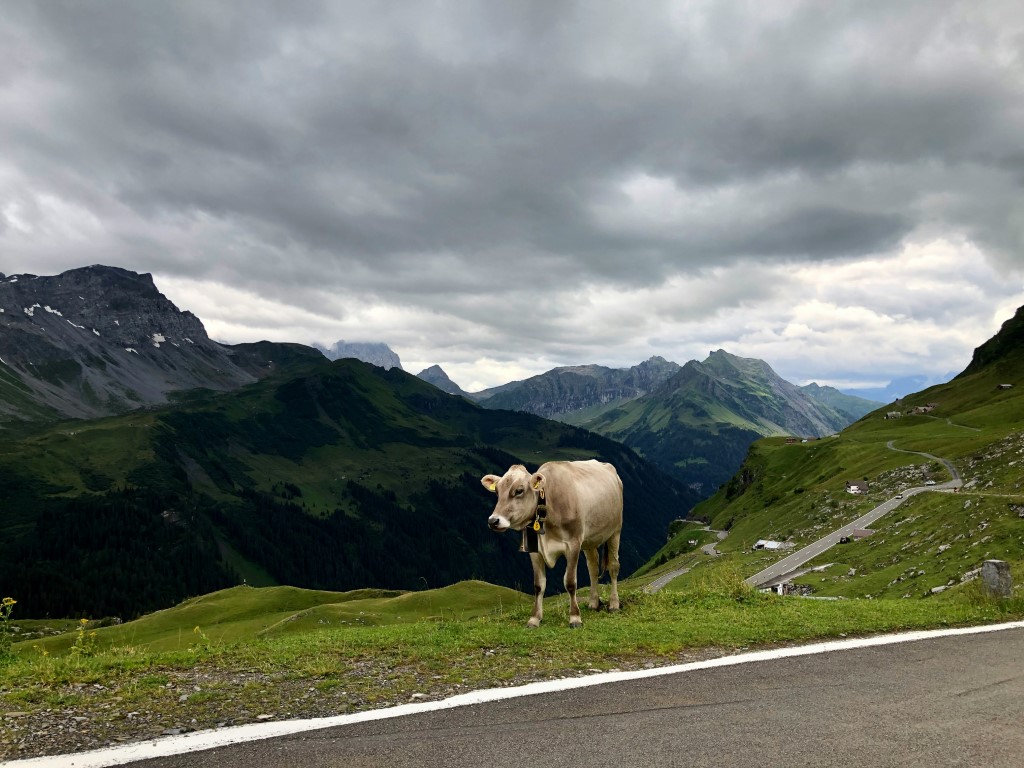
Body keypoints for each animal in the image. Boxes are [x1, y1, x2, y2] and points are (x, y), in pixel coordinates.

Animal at [481, 460, 622, 626]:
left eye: (519, 490)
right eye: (497, 491)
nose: (493, 521)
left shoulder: (573, 545)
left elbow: (570, 583)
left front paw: (575, 617)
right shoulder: (534, 550)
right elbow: (538, 585)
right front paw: (534, 619)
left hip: (615, 531)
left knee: (613, 567)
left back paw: (614, 604)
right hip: (589, 540)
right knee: (593, 568)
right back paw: (593, 603)